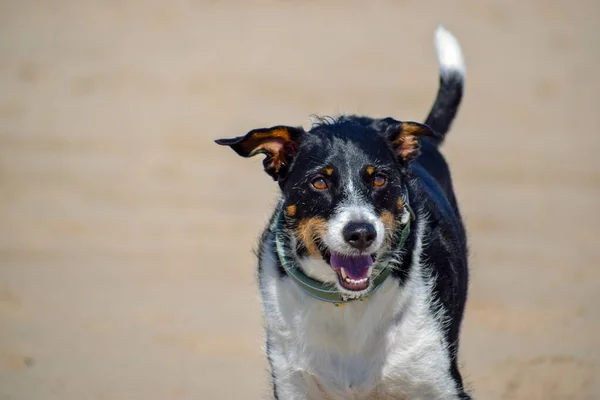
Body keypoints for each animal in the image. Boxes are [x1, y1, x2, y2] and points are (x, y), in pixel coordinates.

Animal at [218, 25, 472, 400]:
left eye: (379, 178)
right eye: (320, 182)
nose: (361, 233)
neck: (347, 305)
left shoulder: (439, 383)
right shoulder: (293, 382)